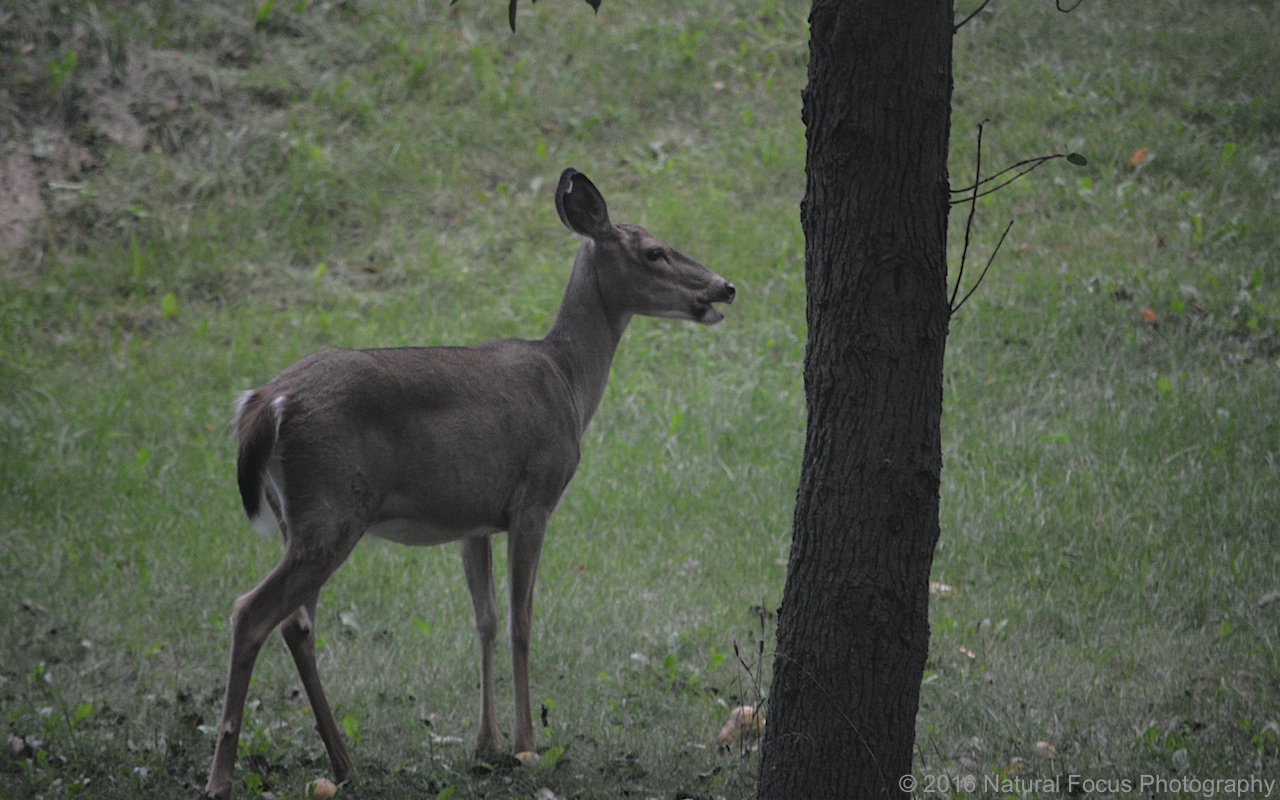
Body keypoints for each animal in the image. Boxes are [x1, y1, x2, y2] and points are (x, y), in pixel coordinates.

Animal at [198, 168, 735, 799]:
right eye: (654, 250)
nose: (725, 288)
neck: (569, 383)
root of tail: (263, 403)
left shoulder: (472, 520)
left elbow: (485, 619)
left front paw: (487, 743)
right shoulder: (534, 496)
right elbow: (522, 619)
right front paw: (528, 744)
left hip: (301, 517)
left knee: (297, 623)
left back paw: (344, 764)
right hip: (333, 508)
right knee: (250, 611)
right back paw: (222, 776)